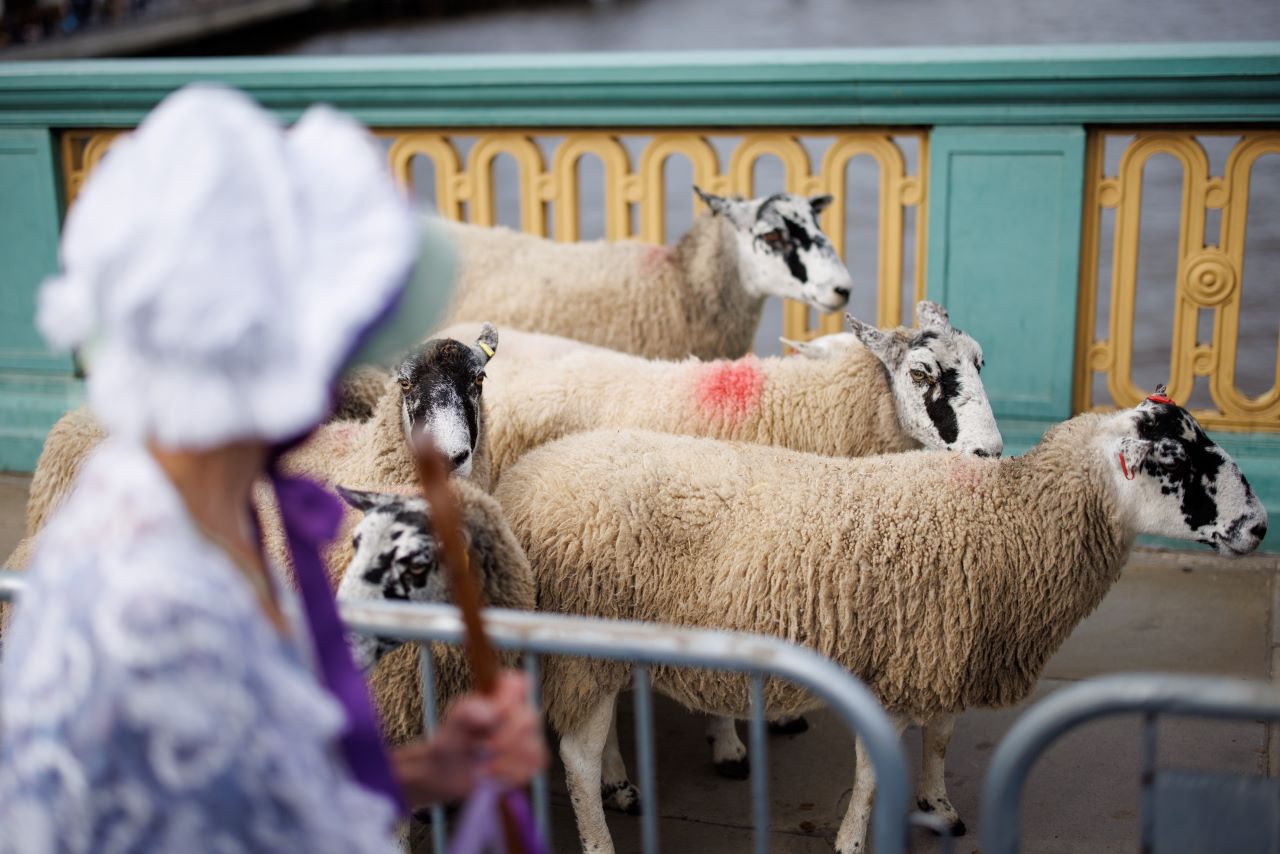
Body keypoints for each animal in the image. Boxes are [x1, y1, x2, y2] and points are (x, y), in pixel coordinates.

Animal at [483, 402, 1264, 854]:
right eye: (1172, 460)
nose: (1258, 526)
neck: (1010, 522)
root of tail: (526, 477)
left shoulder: (946, 648)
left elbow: (941, 737)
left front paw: (939, 806)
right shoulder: (892, 667)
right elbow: (866, 778)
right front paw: (857, 841)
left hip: (597, 642)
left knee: (598, 726)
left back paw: (622, 783)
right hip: (580, 631)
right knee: (575, 758)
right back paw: (599, 835)